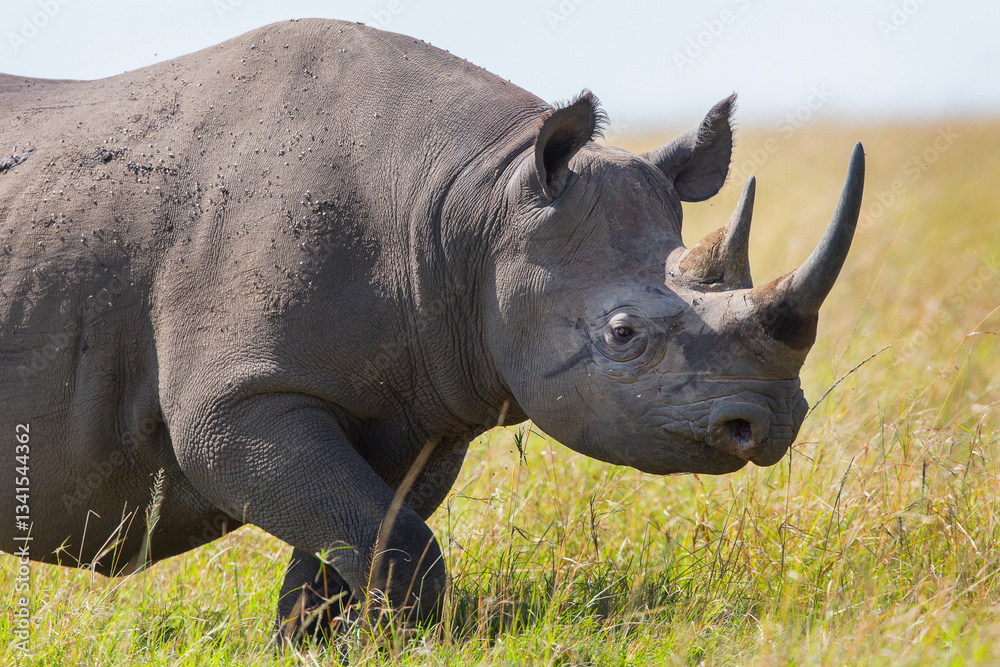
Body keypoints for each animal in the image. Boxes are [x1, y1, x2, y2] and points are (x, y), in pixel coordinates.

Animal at [0, 19, 864, 642]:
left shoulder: (426, 402)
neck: (475, 203)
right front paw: (399, 642)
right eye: (623, 335)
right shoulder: (240, 398)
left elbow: (362, 535)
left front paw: (324, 644)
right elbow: (390, 541)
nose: (770, 422)